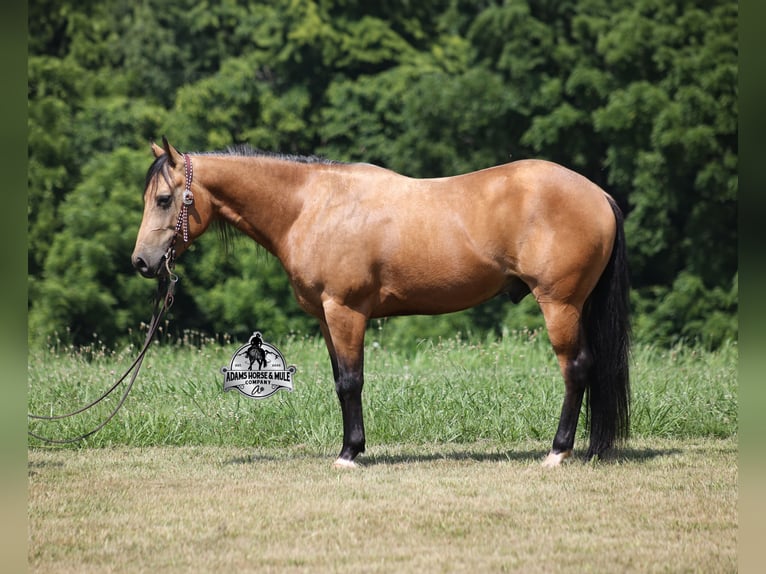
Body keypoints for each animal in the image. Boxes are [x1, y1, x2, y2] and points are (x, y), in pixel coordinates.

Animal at [132, 137, 631, 468]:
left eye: (164, 199)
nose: (142, 261)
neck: (310, 206)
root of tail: (598, 194)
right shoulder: (326, 318)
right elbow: (340, 380)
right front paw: (352, 446)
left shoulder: (346, 311)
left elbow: (351, 382)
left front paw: (350, 454)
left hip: (560, 304)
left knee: (576, 368)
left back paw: (558, 451)